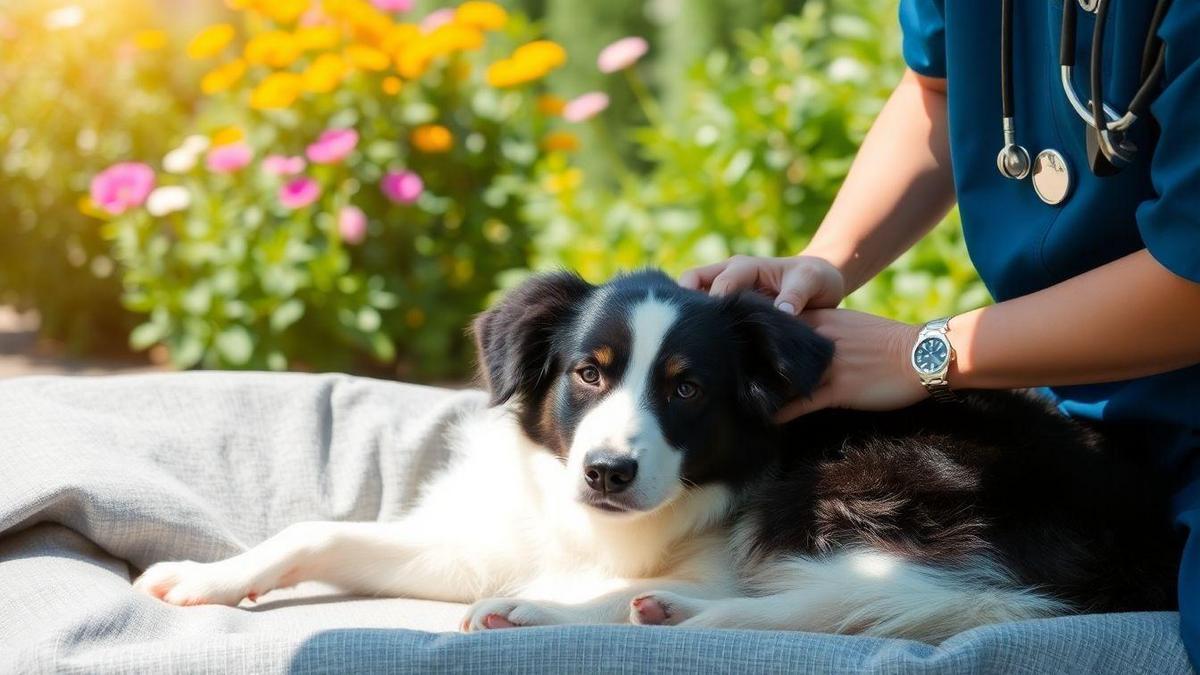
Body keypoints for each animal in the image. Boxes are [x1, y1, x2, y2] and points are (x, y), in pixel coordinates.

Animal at [136, 270, 1176, 638]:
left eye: (686, 389)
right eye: (587, 373)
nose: (607, 472)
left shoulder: (730, 532)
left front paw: (561, 599)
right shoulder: (475, 540)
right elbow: (316, 529)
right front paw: (204, 577)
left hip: (856, 487)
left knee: (819, 604)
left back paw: (615, 610)